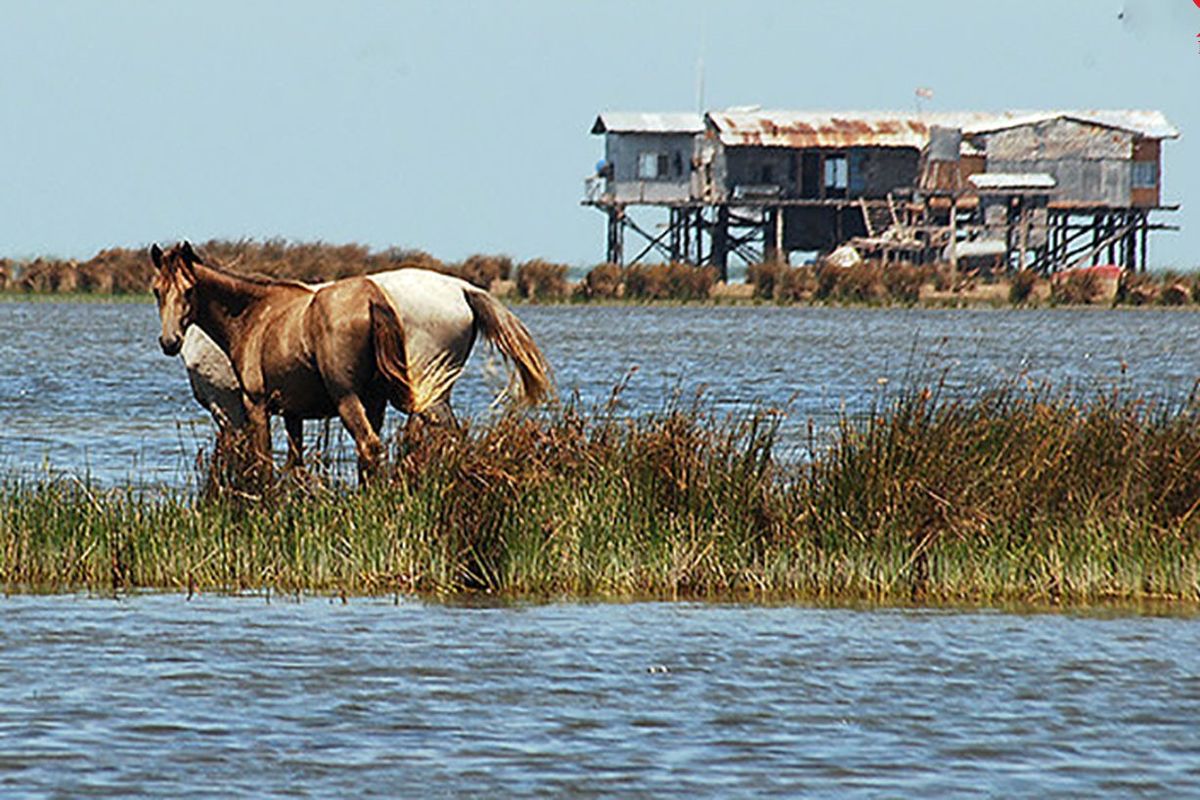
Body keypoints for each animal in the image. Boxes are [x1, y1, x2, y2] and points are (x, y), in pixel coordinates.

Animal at [150, 241, 549, 484]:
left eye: (188, 290)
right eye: (156, 290)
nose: (169, 342)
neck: (256, 314)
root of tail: (464, 289)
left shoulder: (243, 406)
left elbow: (256, 463)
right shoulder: (291, 411)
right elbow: (294, 464)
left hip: (391, 397)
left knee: (386, 444)